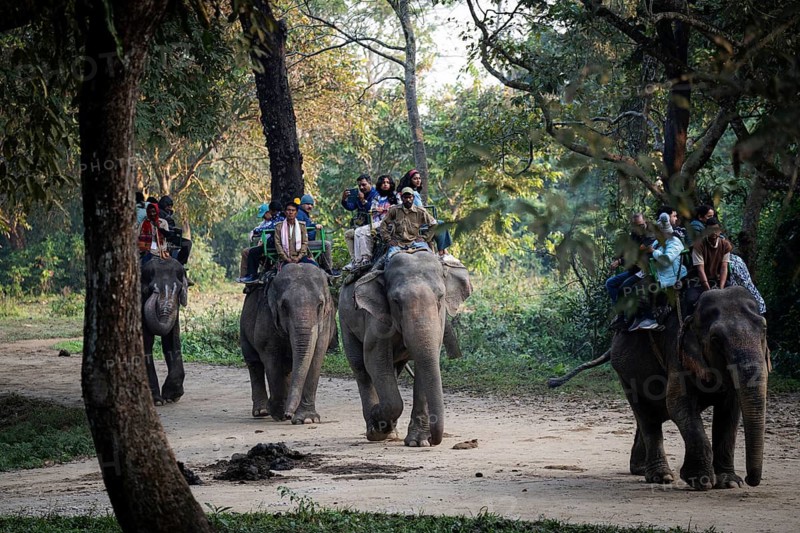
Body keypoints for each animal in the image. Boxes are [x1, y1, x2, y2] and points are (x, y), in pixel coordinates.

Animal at [141, 256, 189, 405]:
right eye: (150, 289)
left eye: (179, 290)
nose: (155, 293)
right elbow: (146, 341)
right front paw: (156, 401)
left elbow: (171, 340)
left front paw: (172, 396)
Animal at [240, 263, 337, 424]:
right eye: (284, 306)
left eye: (320, 305)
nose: (289, 415)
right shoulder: (266, 318)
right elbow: (271, 359)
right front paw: (278, 413)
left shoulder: (326, 322)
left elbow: (316, 355)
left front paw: (307, 419)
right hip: (243, 326)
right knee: (254, 363)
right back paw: (262, 411)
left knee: (287, 368)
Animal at [339, 251, 472, 447]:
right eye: (396, 301)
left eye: (440, 297)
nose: (433, 439)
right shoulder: (376, 318)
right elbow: (374, 359)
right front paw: (378, 419)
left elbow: (426, 359)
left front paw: (418, 442)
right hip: (345, 321)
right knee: (360, 368)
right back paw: (375, 430)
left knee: (394, 369)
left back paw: (390, 432)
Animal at [549, 286, 769, 490]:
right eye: (716, 339)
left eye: (764, 331)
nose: (750, 480)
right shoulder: (676, 351)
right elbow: (677, 404)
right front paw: (700, 481)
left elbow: (729, 411)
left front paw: (730, 482)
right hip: (625, 374)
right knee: (647, 415)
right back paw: (660, 477)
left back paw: (639, 469)